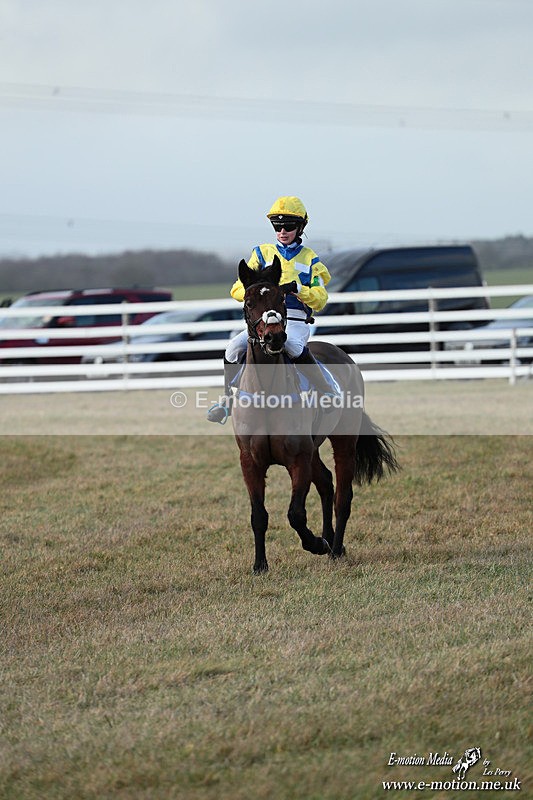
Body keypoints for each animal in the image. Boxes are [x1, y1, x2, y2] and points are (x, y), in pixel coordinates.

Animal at [232, 255, 399, 574]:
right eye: (248, 302)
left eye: (281, 298)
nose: (274, 338)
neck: (267, 395)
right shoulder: (250, 462)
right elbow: (258, 515)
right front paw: (260, 565)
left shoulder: (298, 458)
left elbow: (295, 513)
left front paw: (316, 544)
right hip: (314, 449)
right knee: (325, 483)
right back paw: (332, 540)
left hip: (343, 442)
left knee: (342, 497)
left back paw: (334, 548)